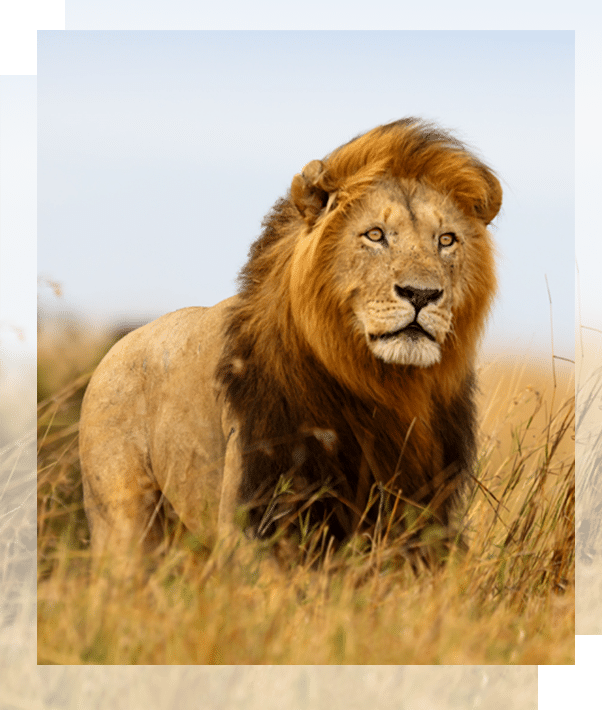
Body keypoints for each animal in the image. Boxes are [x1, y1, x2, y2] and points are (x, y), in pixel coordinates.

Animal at [79, 118, 501, 575]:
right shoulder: (258, 508)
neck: (384, 386)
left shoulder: (422, 511)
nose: (422, 294)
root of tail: (114, 351)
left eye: (446, 240)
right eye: (375, 235)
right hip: (123, 521)